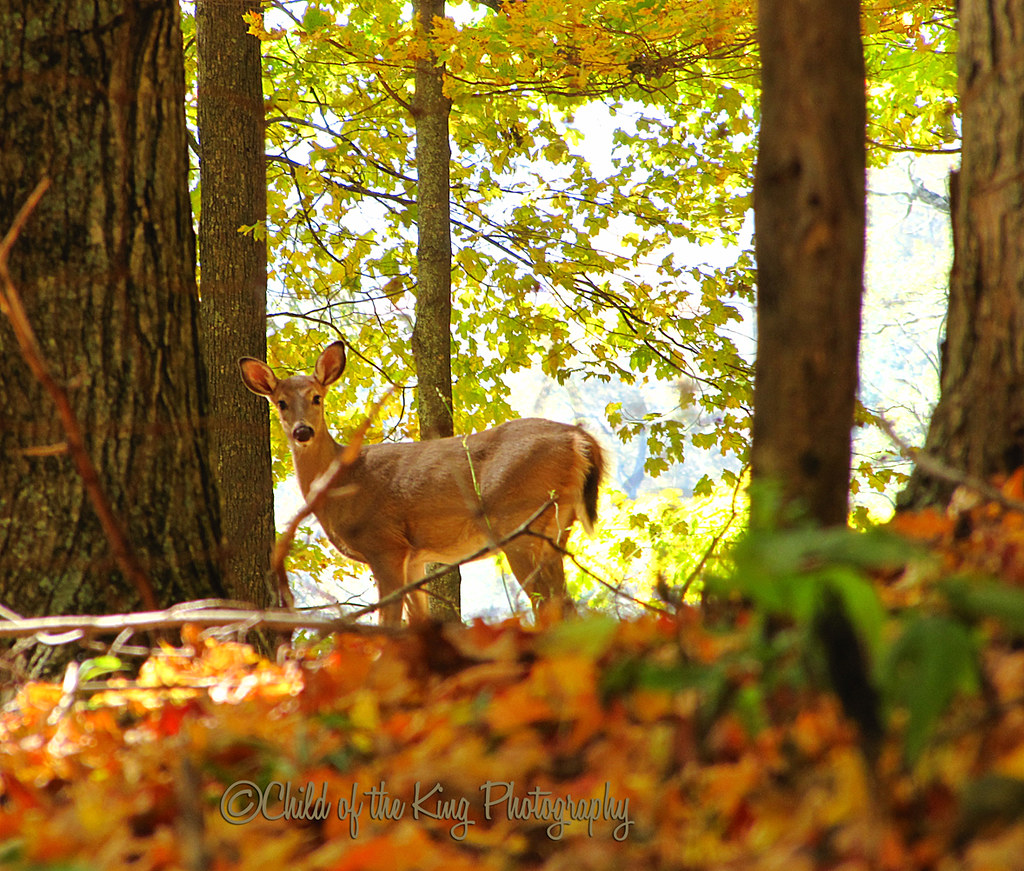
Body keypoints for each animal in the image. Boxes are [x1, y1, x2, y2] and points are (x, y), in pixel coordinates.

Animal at [238, 340, 604, 625]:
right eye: (281, 402)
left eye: (317, 397)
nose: (302, 431)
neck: (343, 480)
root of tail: (579, 439)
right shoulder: (414, 558)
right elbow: (419, 620)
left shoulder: (385, 543)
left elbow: (389, 623)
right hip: (557, 527)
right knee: (566, 606)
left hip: (520, 523)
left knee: (547, 606)